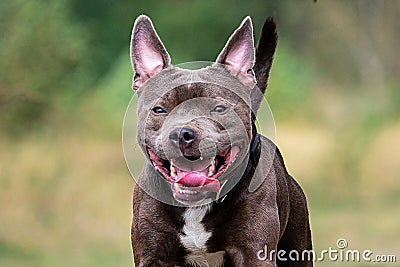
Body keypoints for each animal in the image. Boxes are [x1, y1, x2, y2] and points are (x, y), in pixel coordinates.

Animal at [128, 15, 312, 267]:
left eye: (219, 108)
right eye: (159, 110)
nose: (182, 133)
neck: (197, 206)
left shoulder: (254, 252)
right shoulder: (152, 254)